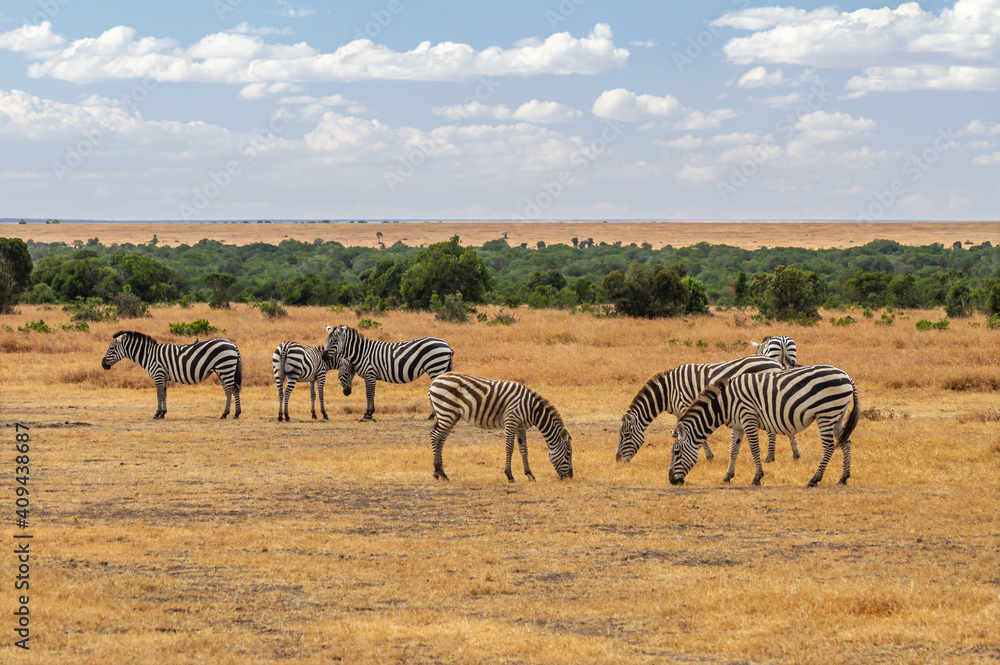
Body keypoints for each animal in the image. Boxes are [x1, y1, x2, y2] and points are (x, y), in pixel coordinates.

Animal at [100, 331, 242, 419]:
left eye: (111, 348)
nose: (103, 364)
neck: (149, 355)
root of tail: (232, 344)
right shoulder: (164, 376)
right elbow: (164, 394)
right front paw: (163, 413)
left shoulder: (158, 374)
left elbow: (159, 394)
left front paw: (157, 414)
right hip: (222, 370)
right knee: (228, 391)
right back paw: (225, 414)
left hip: (225, 367)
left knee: (234, 389)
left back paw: (236, 414)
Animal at [325, 324, 454, 421]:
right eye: (326, 341)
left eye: (335, 341)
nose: (323, 356)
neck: (362, 353)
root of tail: (446, 344)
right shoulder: (370, 375)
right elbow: (371, 394)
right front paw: (369, 413)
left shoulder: (370, 374)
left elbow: (369, 394)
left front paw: (368, 414)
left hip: (435, 368)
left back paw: (433, 415)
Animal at [428, 372, 573, 482]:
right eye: (568, 454)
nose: (570, 477)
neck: (532, 409)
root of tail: (436, 380)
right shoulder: (511, 421)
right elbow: (509, 448)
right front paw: (509, 475)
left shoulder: (521, 427)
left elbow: (524, 450)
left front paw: (530, 475)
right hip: (446, 411)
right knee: (434, 435)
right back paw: (436, 470)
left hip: (452, 415)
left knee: (441, 439)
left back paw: (442, 473)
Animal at [616, 355, 784, 464]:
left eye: (626, 435)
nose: (618, 460)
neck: (668, 392)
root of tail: (776, 362)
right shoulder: (679, 411)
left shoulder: (685, 404)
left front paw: (708, 456)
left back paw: (770, 457)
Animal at [668, 365, 859, 487]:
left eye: (676, 452)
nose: (671, 481)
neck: (725, 404)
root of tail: (846, 375)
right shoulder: (737, 425)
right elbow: (733, 450)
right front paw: (727, 476)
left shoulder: (748, 418)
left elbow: (754, 449)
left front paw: (757, 478)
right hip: (837, 415)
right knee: (846, 442)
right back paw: (843, 478)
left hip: (826, 414)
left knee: (828, 447)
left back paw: (814, 479)